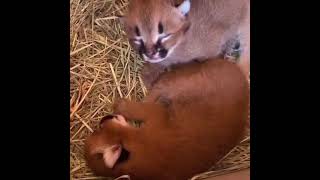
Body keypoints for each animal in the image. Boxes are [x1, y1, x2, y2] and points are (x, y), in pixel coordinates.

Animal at [85, 58, 250, 179]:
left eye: (98, 129)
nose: (104, 119)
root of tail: (235, 69)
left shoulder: (156, 114)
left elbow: (141, 109)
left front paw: (119, 105)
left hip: (179, 81)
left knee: (160, 85)